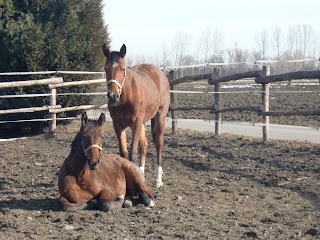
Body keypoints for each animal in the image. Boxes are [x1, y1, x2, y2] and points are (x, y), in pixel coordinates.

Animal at [103, 44, 171, 188]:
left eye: (122, 69)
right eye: (105, 68)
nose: (113, 96)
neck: (126, 96)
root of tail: (161, 74)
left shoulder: (136, 124)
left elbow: (132, 153)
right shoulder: (118, 125)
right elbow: (123, 153)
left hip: (159, 116)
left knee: (159, 144)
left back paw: (158, 180)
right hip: (143, 122)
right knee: (144, 146)